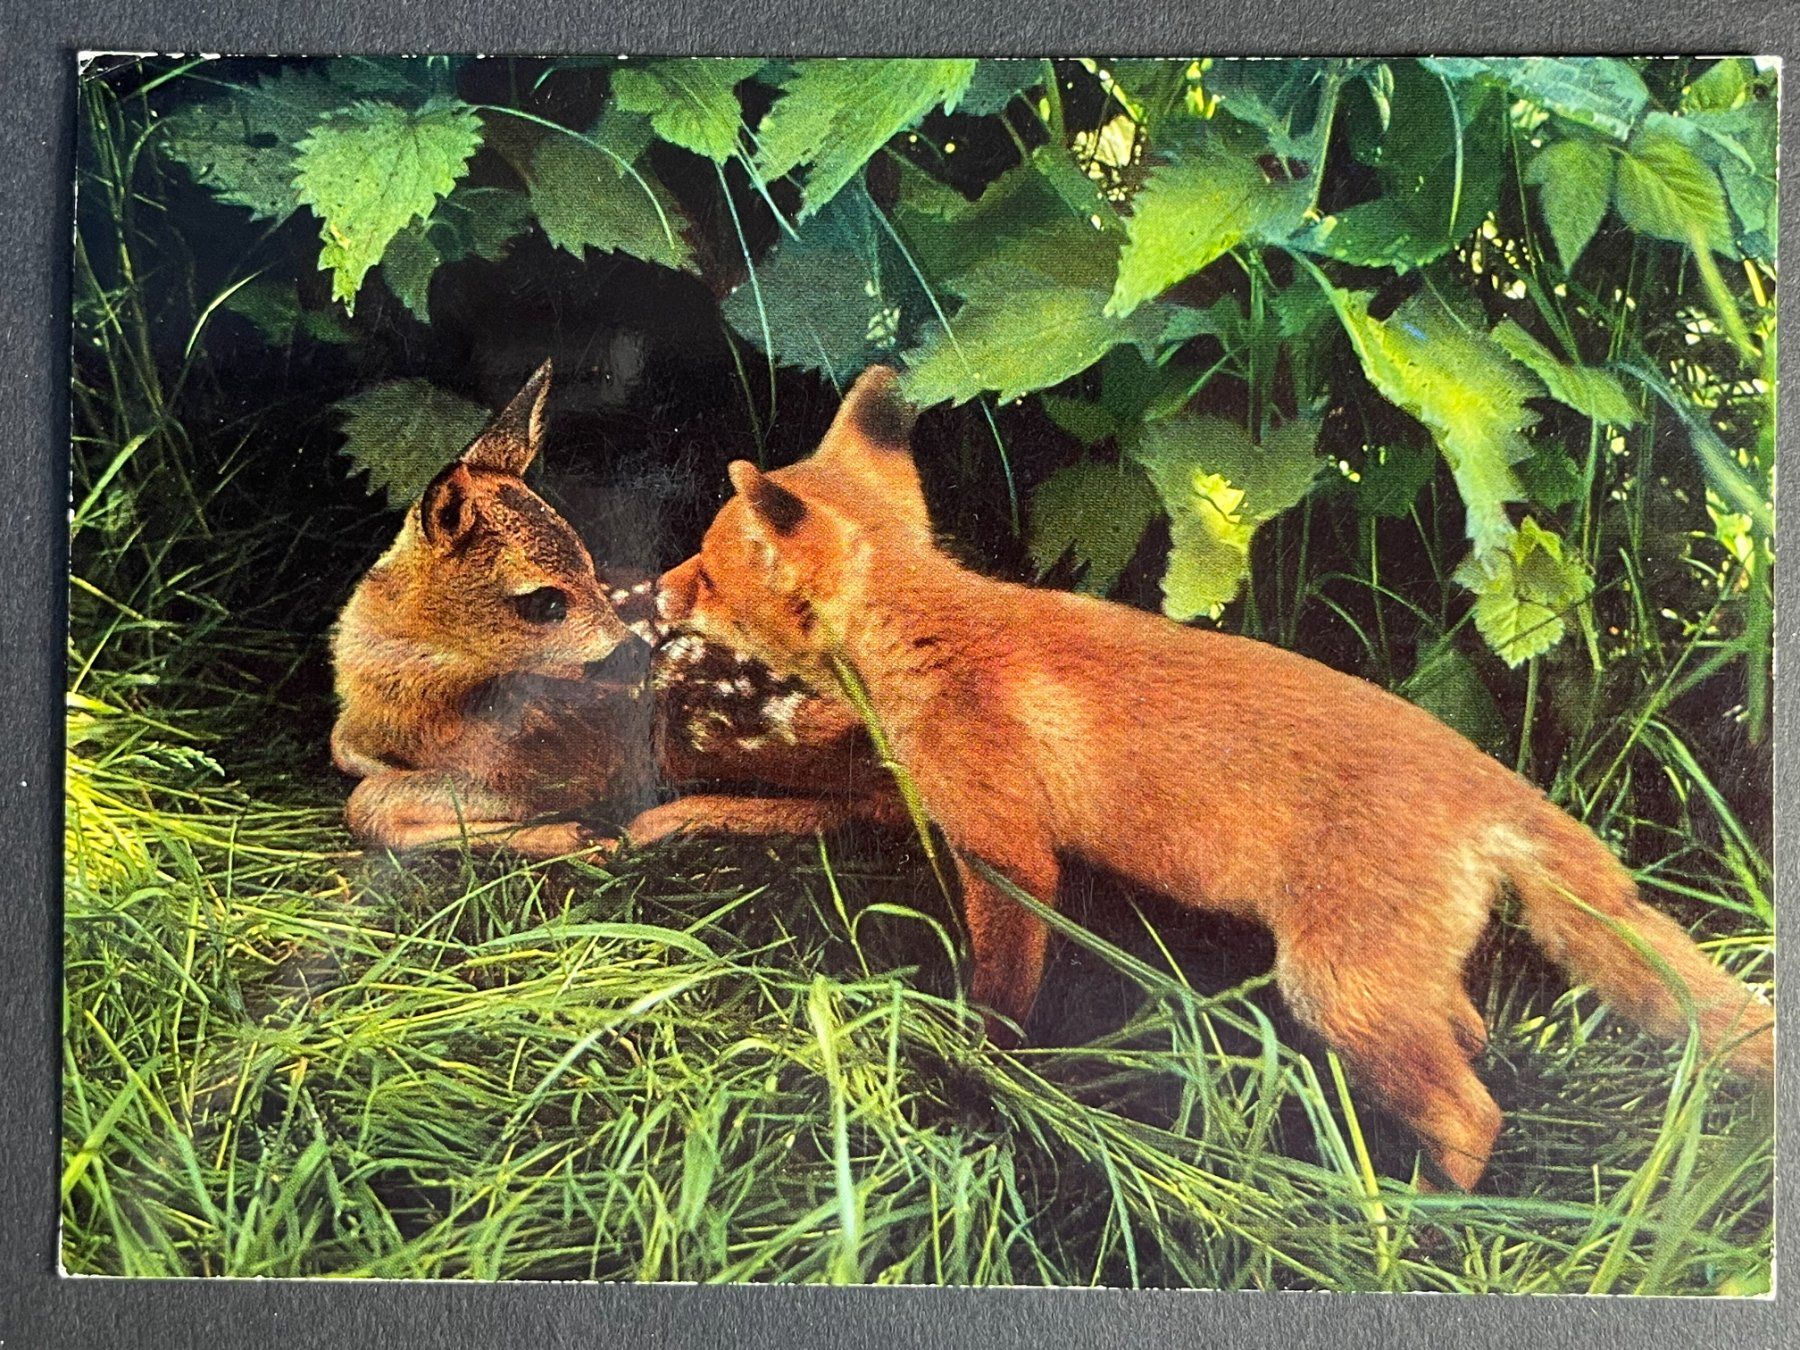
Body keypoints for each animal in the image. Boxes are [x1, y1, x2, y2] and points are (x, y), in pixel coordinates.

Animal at [330, 361, 900, 859]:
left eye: (587, 563)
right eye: (544, 600)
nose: (633, 650)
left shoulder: (553, 769)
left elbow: (367, 804)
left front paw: (570, 835)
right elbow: (343, 749)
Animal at [657, 364, 1775, 1191]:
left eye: (707, 572)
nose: (651, 594)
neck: (936, 637)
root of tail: (1487, 779)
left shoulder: (1010, 859)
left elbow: (1000, 998)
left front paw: (983, 1081)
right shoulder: (927, 812)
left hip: (1337, 988)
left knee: (1472, 1114)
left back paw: (1409, 1224)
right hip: (1391, 985)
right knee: (1470, 1033)